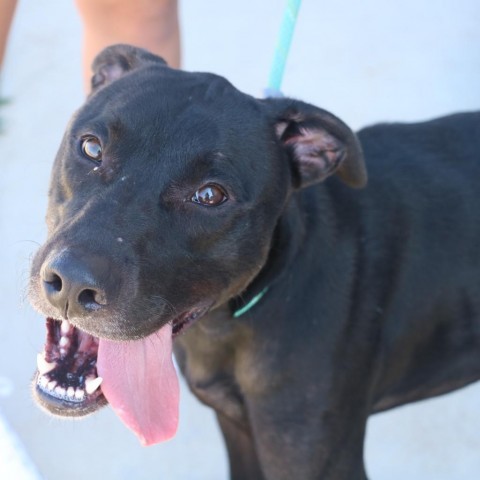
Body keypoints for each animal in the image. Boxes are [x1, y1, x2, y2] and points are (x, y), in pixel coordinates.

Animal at [31, 44, 480, 476]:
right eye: (91, 147)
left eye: (210, 195)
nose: (72, 283)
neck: (228, 326)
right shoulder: (237, 430)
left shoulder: (315, 458)